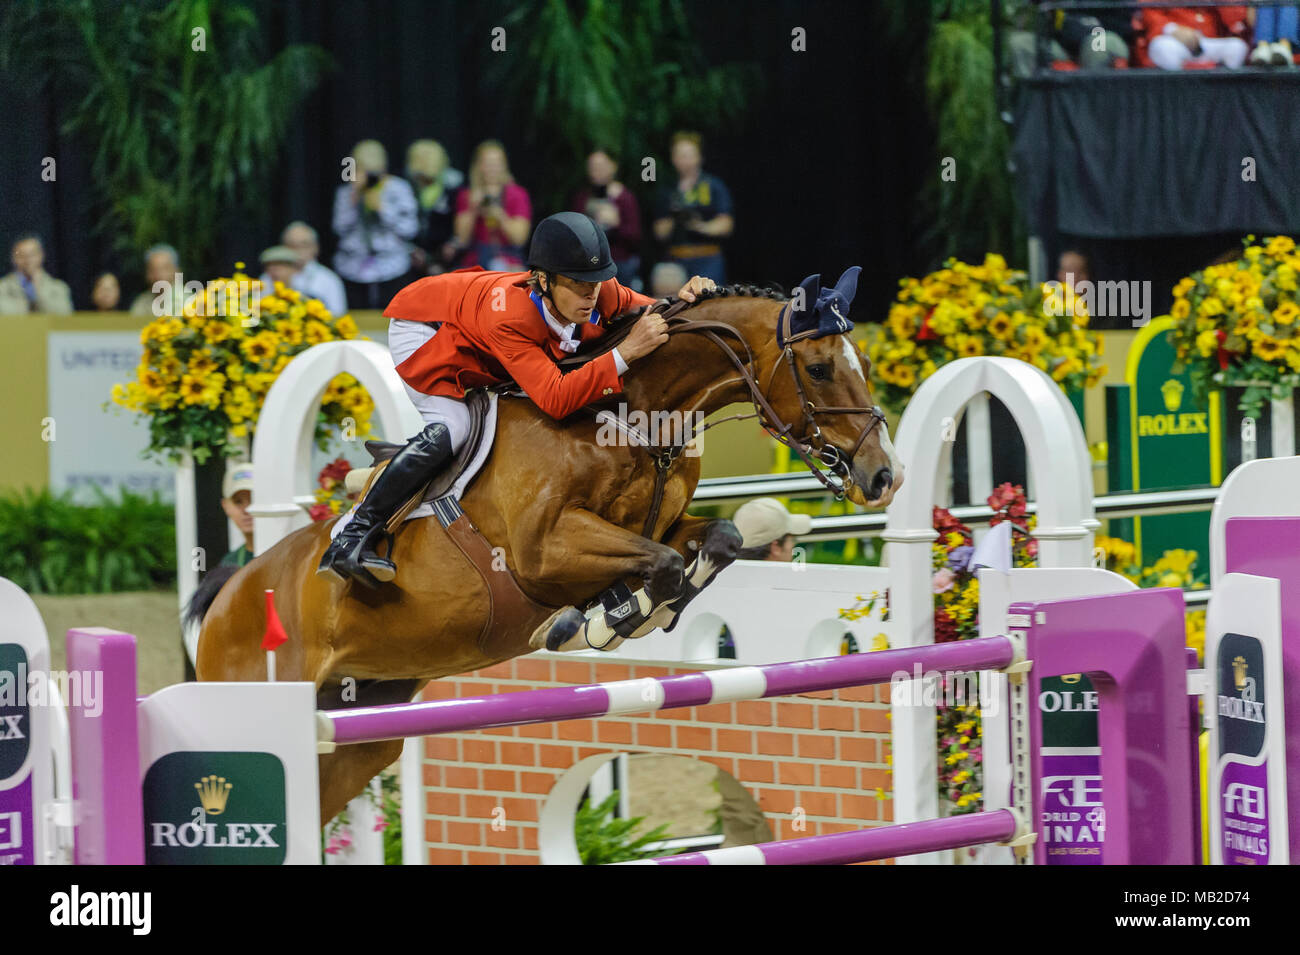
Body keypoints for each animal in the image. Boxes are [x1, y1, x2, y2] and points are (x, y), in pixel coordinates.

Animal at [192, 278, 904, 821]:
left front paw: (627, 612)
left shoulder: (661, 526)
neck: (624, 414)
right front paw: (597, 622)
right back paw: (354, 551)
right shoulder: (541, 552)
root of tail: (228, 596)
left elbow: (711, 543)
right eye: (818, 368)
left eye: (864, 364)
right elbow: (661, 565)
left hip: (358, 735)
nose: (883, 477)